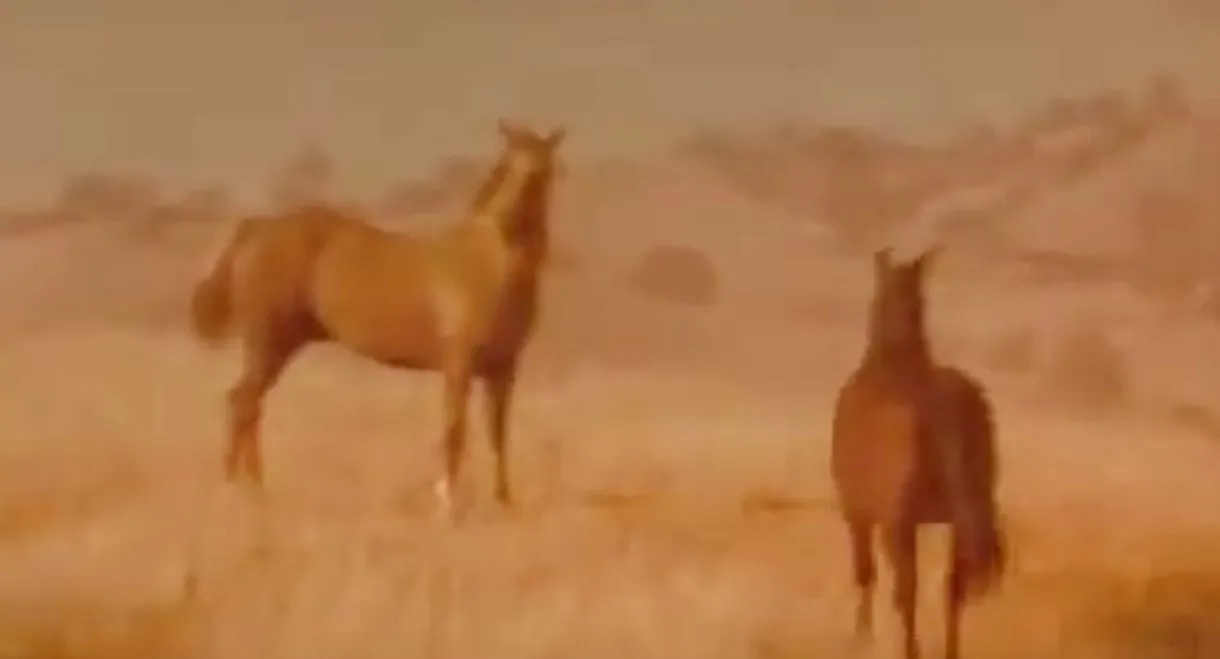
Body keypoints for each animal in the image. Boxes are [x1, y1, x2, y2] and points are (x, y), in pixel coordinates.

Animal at [189, 119, 565, 520]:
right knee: (242, 403)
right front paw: (446, 506)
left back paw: (254, 491)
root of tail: (256, 228)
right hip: (268, 343)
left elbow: (498, 435)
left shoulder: (503, 369)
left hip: (281, 345)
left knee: (249, 406)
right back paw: (238, 491)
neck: (486, 267)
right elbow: (454, 431)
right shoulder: (458, 364)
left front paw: (503, 501)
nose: (511, 220)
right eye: (512, 163)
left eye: (546, 169)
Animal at [831, 247, 1007, 659]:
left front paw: (861, 637)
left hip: (898, 522)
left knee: (906, 590)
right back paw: (949, 652)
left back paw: (910, 650)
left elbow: (865, 574)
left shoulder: (858, 513)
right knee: (953, 589)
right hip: (959, 518)